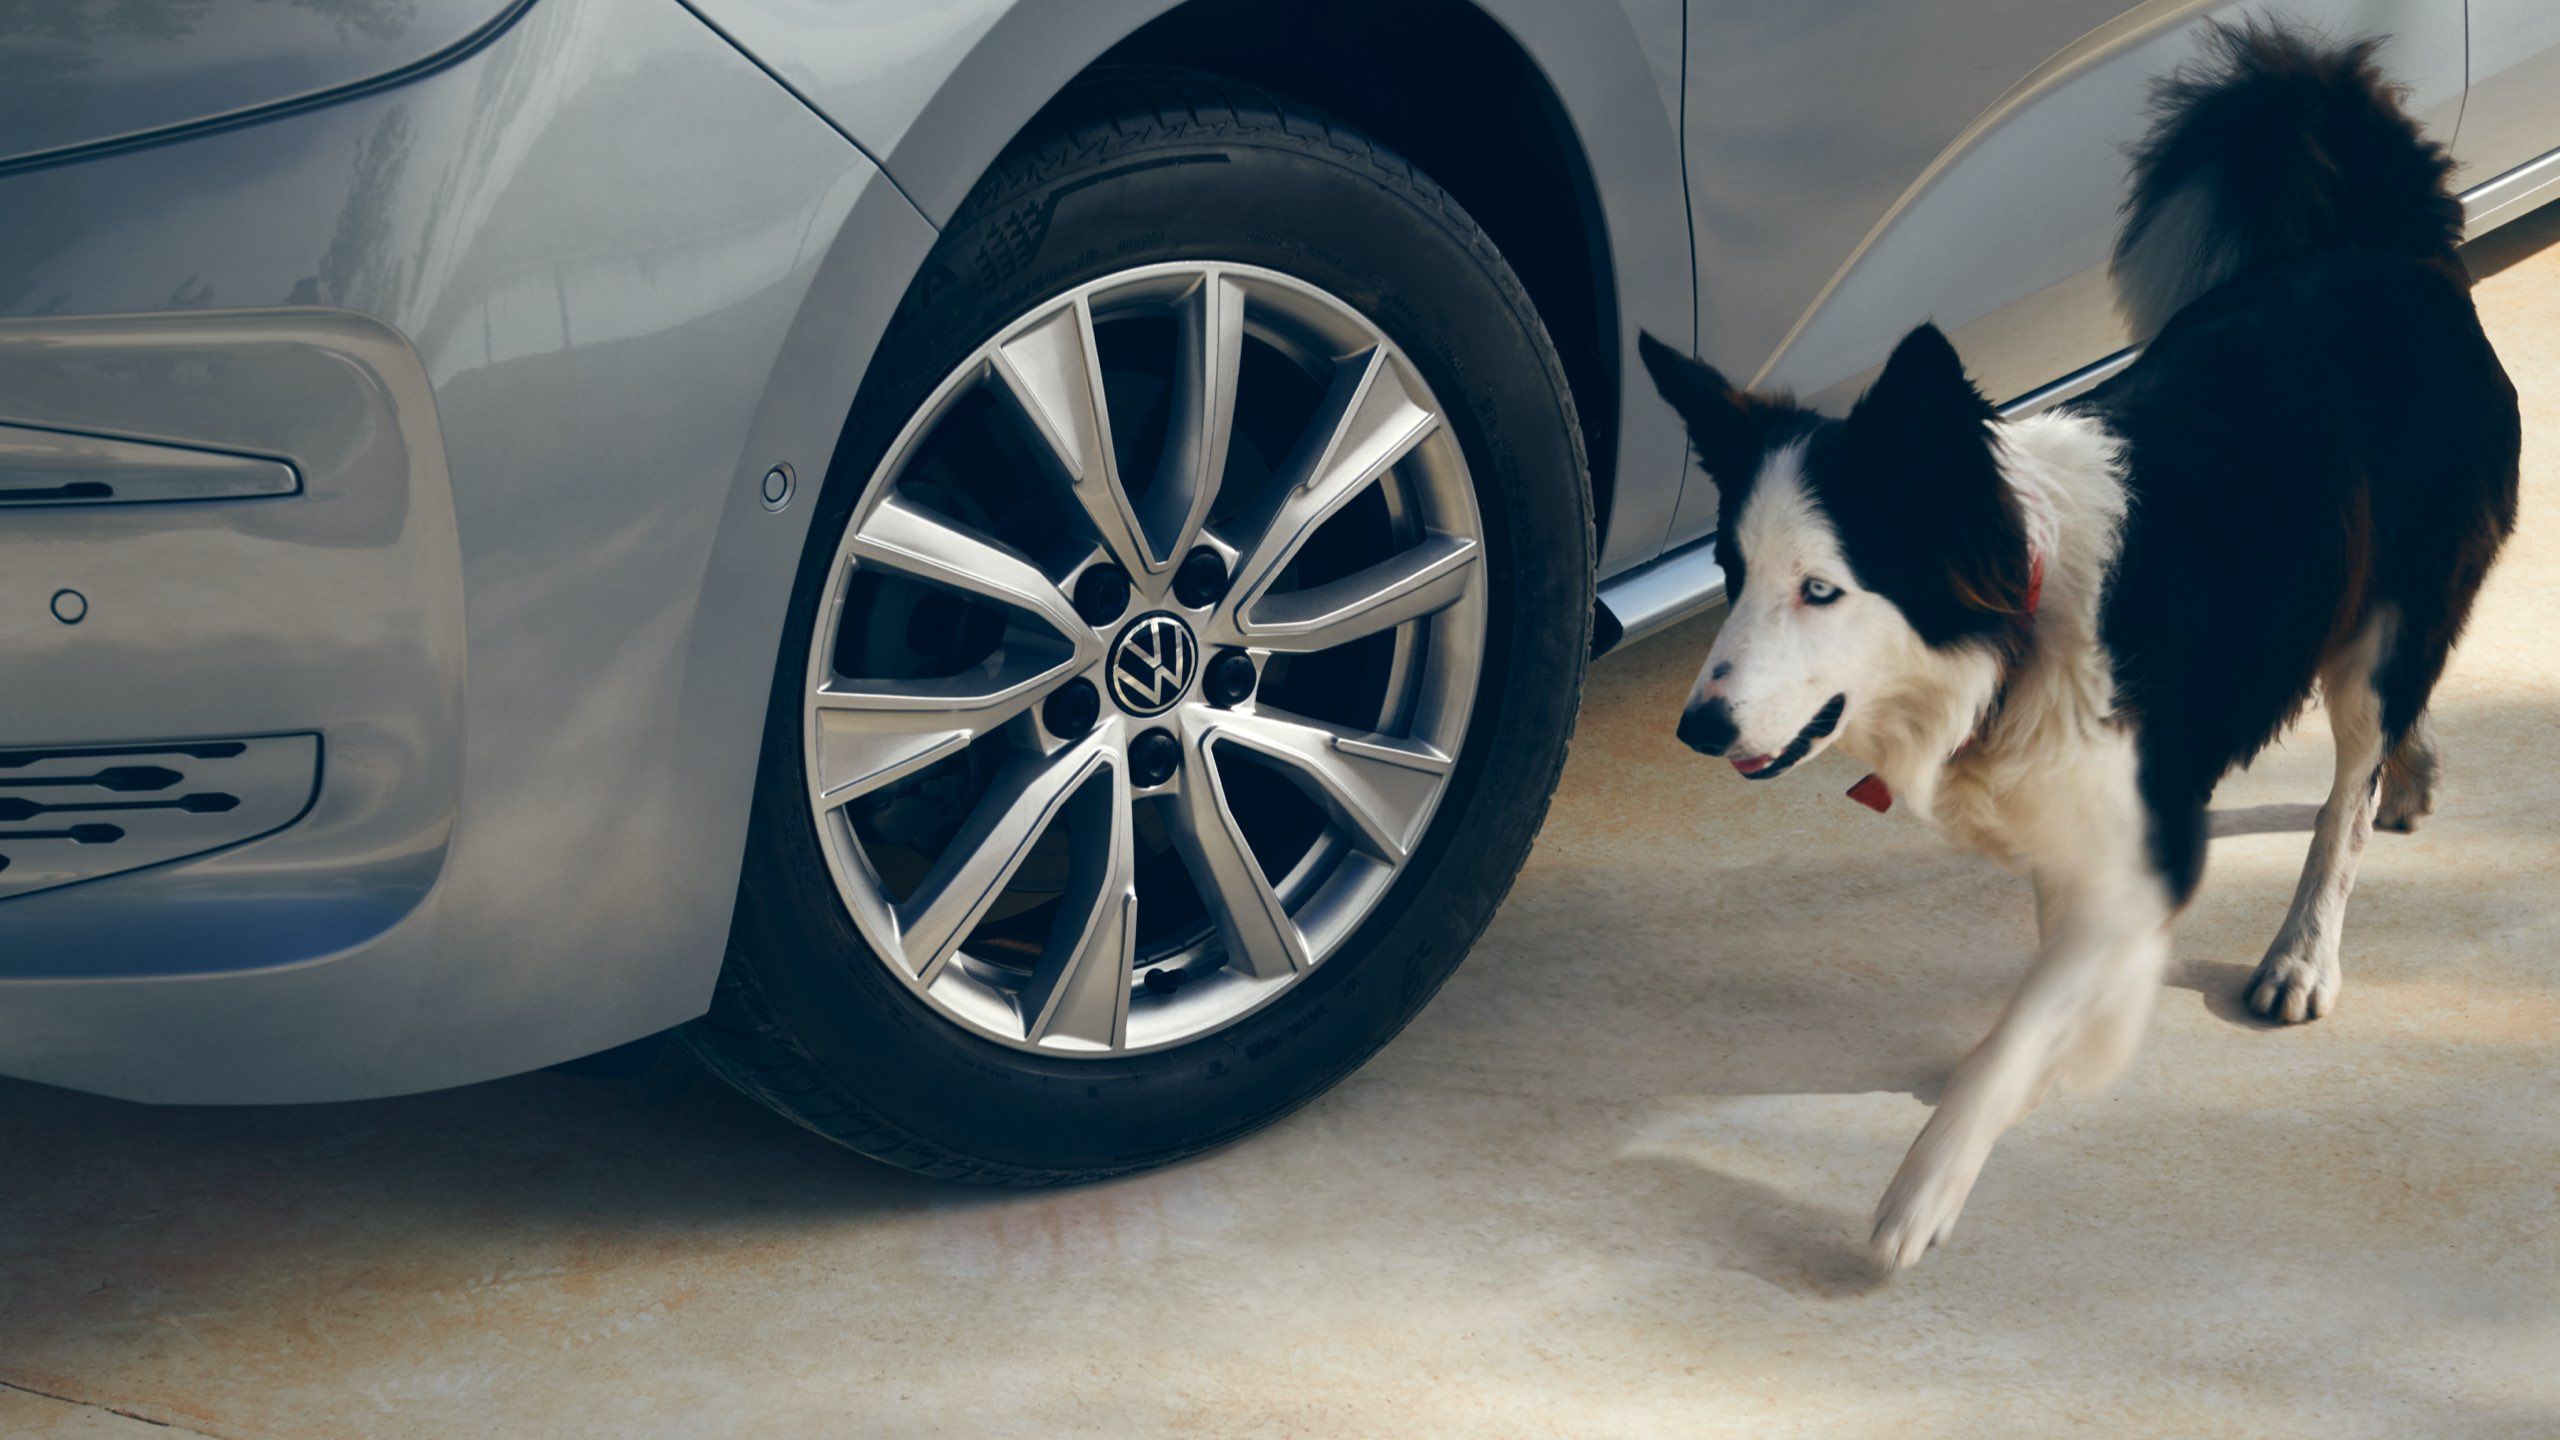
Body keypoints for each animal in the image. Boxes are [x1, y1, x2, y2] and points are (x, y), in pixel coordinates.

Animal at [1638, 19, 2519, 1255]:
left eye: (1820, 590)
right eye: (1729, 572)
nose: (1698, 728)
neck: (2018, 633)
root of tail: (2396, 253)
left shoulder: (2148, 835)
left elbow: (2025, 1019)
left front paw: (1930, 1180)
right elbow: (2051, 961)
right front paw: (2065, 1050)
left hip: (2379, 631)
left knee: (2345, 788)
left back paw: (2304, 952)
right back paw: (2414, 773)